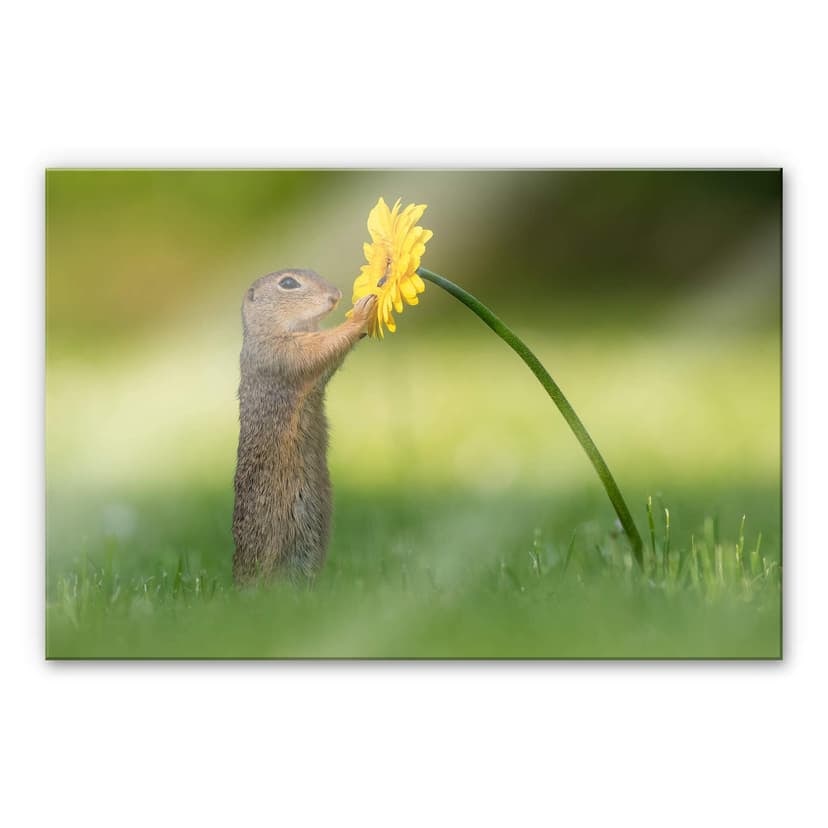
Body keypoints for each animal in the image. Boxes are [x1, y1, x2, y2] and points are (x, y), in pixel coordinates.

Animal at [231, 268, 376, 583]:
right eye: (288, 283)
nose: (335, 295)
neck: (269, 329)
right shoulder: (281, 352)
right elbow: (318, 349)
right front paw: (360, 313)